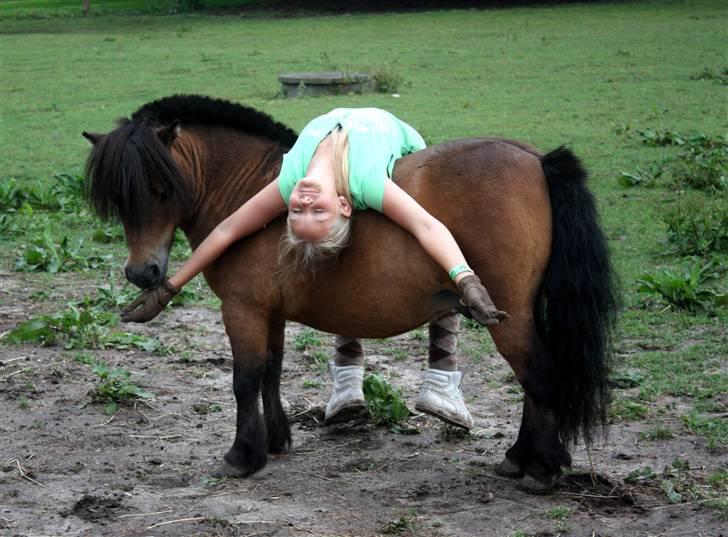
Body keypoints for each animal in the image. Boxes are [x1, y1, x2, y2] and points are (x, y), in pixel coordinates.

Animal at [85, 95, 620, 490]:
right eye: (119, 199)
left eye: (161, 188)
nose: (143, 273)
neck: (246, 185)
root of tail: (536, 159)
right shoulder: (270, 311)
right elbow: (270, 372)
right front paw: (276, 440)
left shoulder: (243, 310)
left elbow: (244, 379)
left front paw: (242, 455)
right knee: (536, 382)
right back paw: (520, 458)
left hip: (511, 319)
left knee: (540, 376)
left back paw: (540, 469)